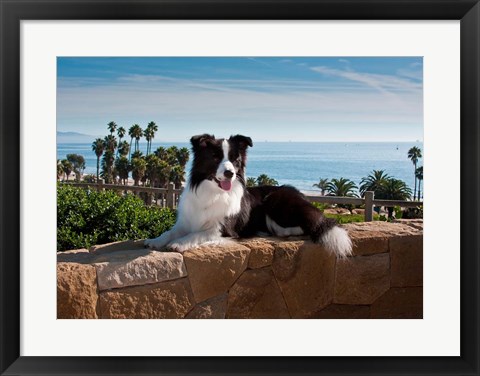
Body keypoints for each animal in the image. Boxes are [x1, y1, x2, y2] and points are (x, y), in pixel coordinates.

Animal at [144, 134, 350, 258]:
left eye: (235, 160)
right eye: (215, 157)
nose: (230, 173)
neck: (213, 192)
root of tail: (301, 195)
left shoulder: (222, 229)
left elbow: (197, 234)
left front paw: (179, 243)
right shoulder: (186, 222)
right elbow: (169, 232)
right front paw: (156, 241)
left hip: (275, 201)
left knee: (305, 226)